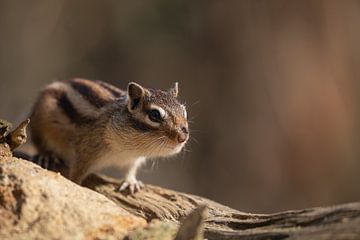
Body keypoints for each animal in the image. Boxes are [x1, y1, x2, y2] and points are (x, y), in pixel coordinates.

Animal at [29, 79, 190, 193]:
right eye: (155, 115)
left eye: (184, 111)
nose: (183, 137)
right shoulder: (85, 151)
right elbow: (76, 173)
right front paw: (75, 184)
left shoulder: (133, 159)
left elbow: (130, 170)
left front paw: (131, 182)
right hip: (39, 122)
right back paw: (47, 155)